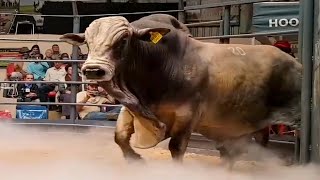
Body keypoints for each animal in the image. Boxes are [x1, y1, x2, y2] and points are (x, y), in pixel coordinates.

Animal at [60, 15, 302, 167]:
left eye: (123, 39)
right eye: (87, 42)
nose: (93, 70)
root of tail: (296, 63)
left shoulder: (187, 115)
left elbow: (176, 147)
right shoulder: (132, 109)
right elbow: (119, 137)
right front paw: (136, 160)